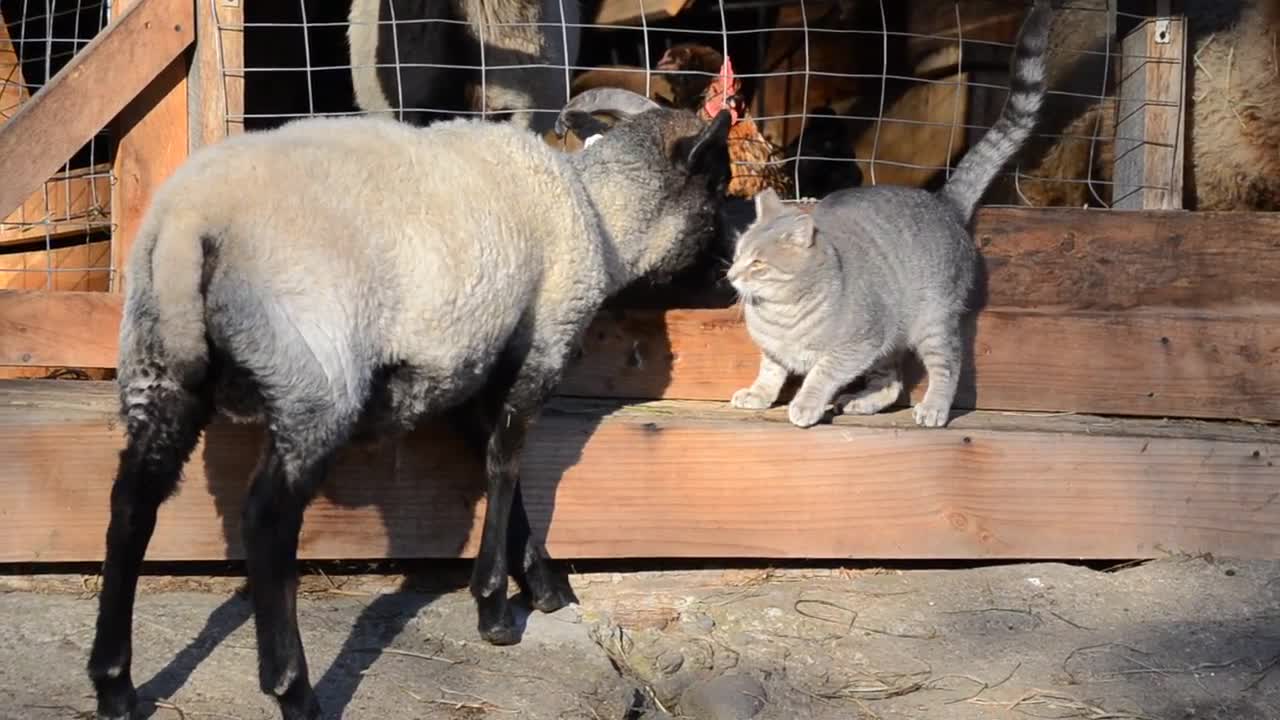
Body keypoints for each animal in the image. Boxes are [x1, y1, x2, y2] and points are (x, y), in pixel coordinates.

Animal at [87, 92, 732, 717]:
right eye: (720, 183)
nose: (730, 278)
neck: (601, 219)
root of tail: (188, 223)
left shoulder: (468, 375)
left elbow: (500, 472)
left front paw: (545, 587)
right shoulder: (543, 341)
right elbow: (505, 468)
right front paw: (496, 610)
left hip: (158, 366)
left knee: (131, 503)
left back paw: (115, 686)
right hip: (313, 374)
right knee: (266, 520)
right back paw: (294, 691)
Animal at [732, 0, 1049, 425]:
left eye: (758, 264)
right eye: (737, 255)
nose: (731, 274)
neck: (782, 315)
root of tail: (944, 202)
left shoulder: (857, 344)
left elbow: (821, 373)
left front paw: (806, 404)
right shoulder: (783, 350)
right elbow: (770, 371)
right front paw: (758, 395)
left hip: (931, 323)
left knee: (948, 364)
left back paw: (933, 407)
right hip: (892, 339)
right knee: (892, 382)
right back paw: (861, 401)